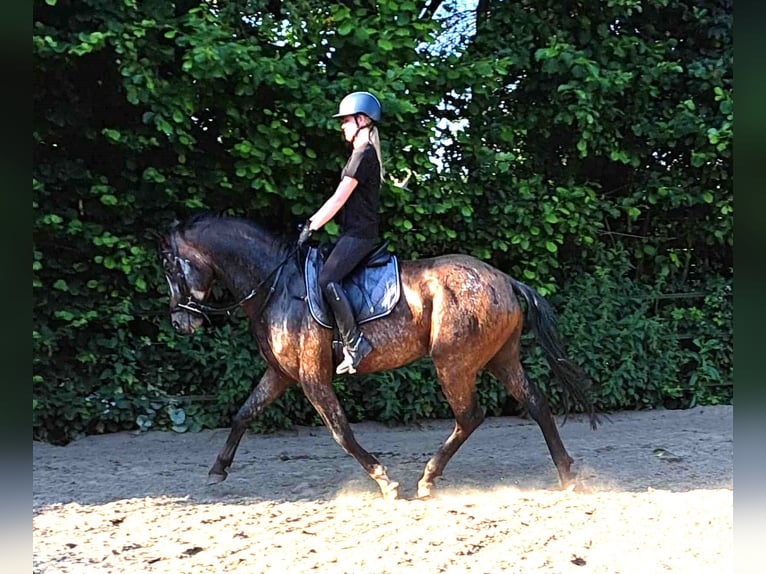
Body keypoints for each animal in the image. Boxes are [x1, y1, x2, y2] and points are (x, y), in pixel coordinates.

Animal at [159, 214, 604, 502]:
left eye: (170, 267)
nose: (181, 322)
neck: (275, 285)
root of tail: (505, 280)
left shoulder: (311, 376)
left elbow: (341, 432)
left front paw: (384, 481)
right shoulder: (280, 374)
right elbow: (243, 414)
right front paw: (217, 470)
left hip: (453, 363)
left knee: (470, 416)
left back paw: (428, 478)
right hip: (500, 358)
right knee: (535, 403)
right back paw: (566, 473)